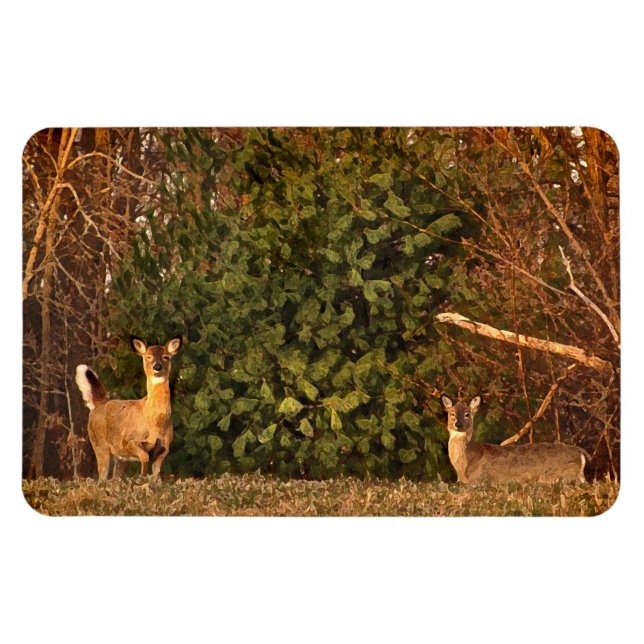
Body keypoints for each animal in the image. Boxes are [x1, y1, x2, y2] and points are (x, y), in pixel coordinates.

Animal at [75, 336, 182, 481]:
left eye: (166, 357)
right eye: (148, 356)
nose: (157, 366)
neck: (154, 422)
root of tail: (100, 402)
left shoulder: (164, 447)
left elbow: (156, 473)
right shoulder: (129, 440)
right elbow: (144, 457)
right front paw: (141, 478)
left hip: (119, 457)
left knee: (115, 477)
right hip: (99, 444)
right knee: (102, 477)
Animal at [440, 395, 589, 484]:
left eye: (467, 414)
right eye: (452, 413)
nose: (458, 424)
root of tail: (580, 452)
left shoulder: (478, 479)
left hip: (558, 475)